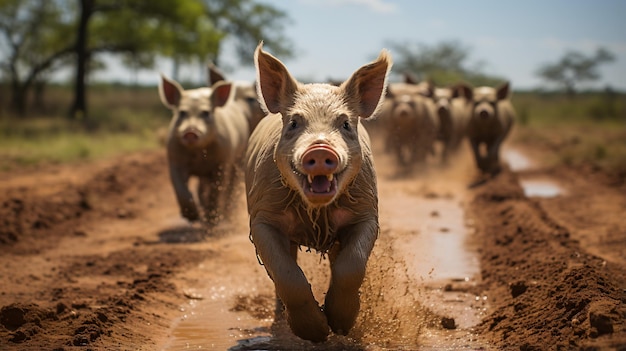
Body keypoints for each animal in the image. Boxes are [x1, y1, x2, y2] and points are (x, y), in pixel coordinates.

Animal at [157, 75, 250, 227]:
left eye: (206, 113)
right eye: (182, 113)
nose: (190, 131)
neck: (198, 154)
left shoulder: (222, 162)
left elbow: (216, 190)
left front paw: (212, 221)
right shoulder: (174, 159)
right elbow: (180, 188)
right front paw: (192, 218)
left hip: (239, 157)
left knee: (232, 185)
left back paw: (226, 217)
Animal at [244, 42, 390, 342]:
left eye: (345, 124)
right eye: (294, 123)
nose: (321, 148)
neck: (316, 214)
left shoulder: (367, 213)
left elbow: (351, 265)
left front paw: (340, 327)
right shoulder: (261, 218)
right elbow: (287, 273)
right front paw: (316, 334)